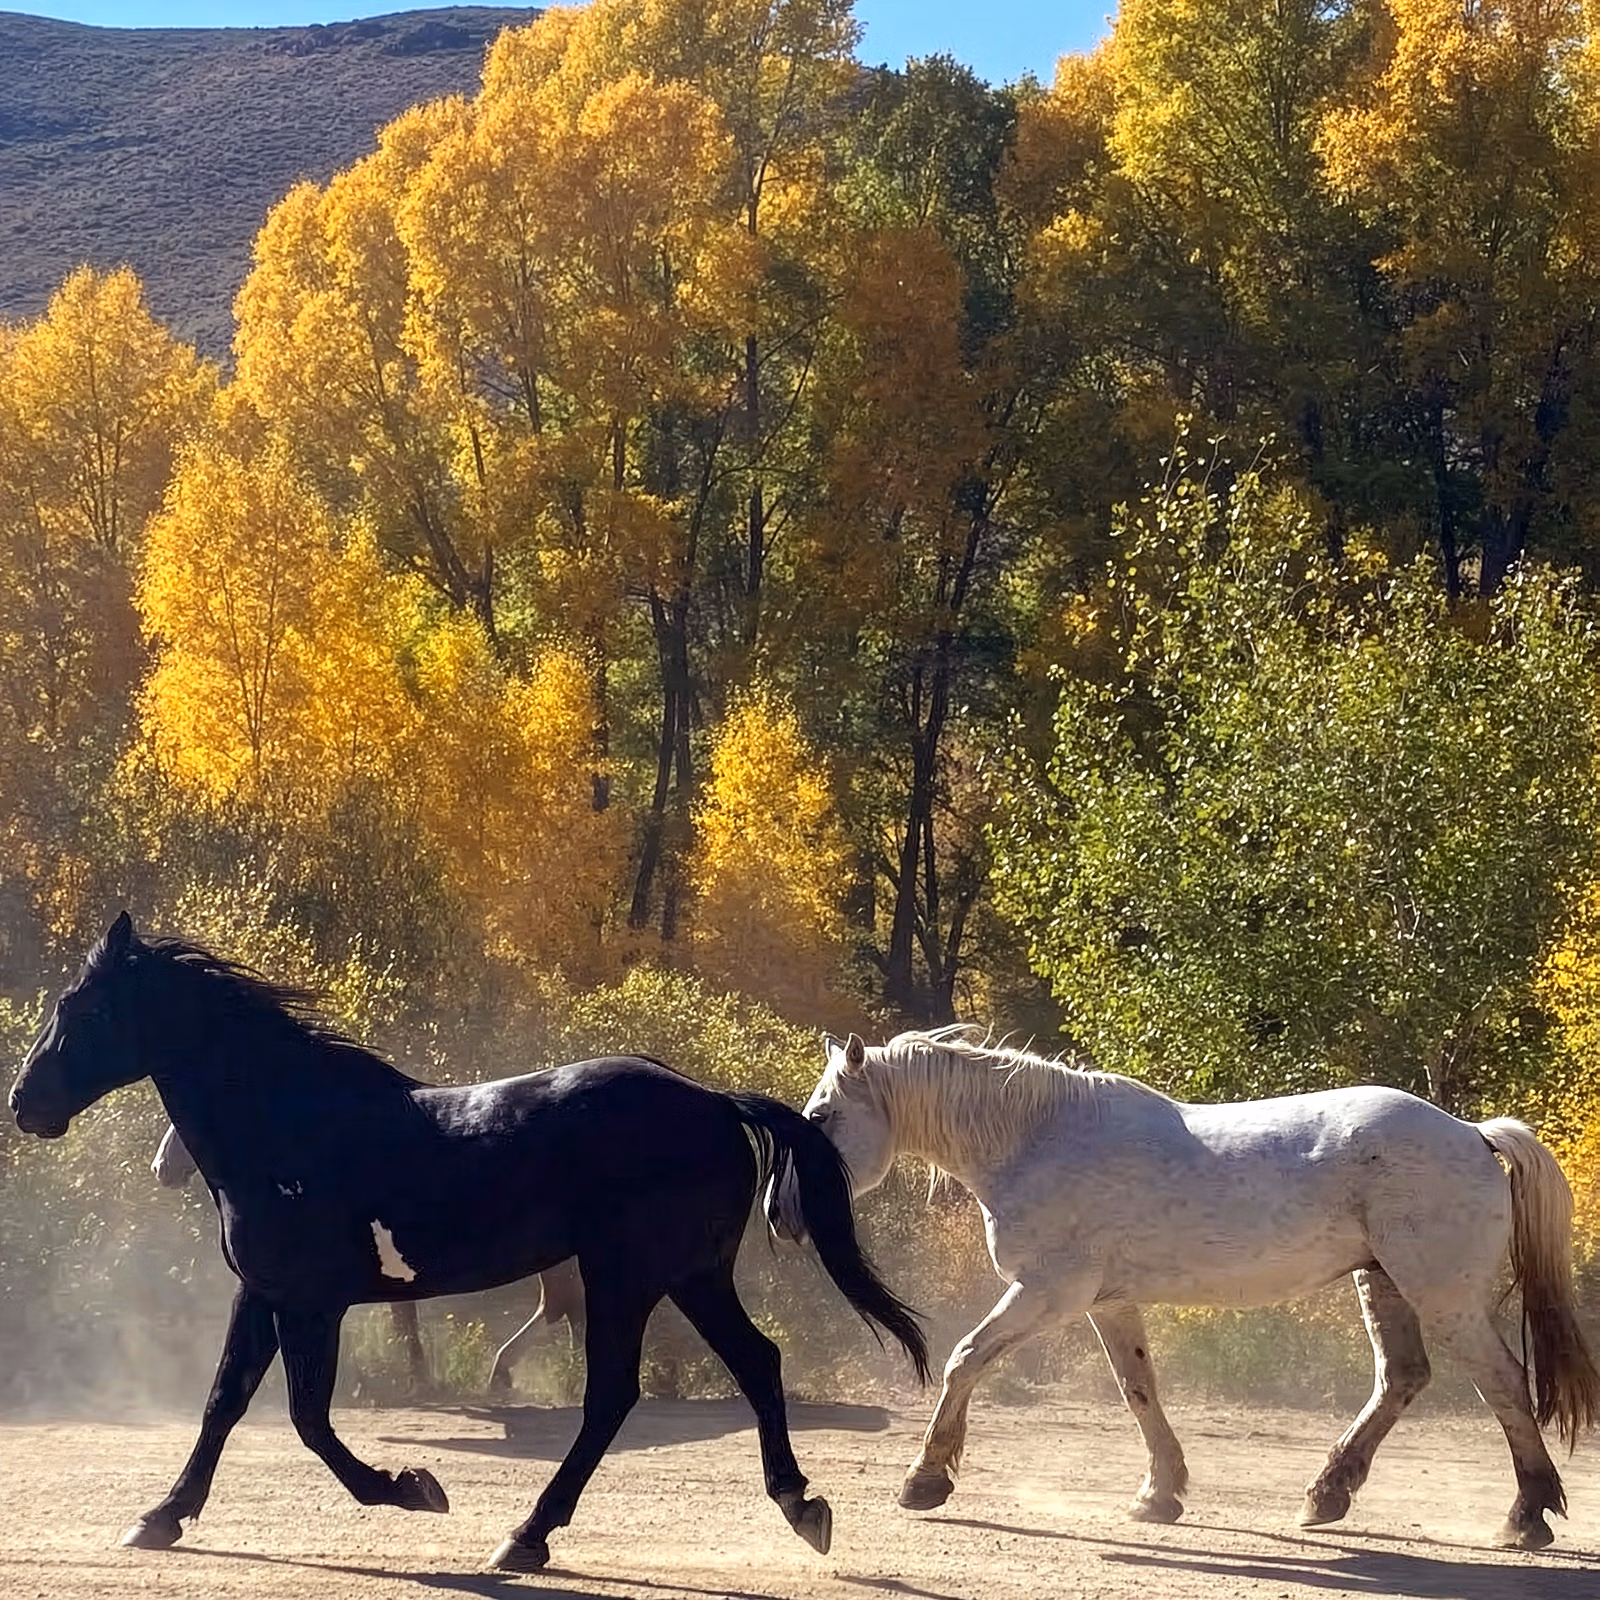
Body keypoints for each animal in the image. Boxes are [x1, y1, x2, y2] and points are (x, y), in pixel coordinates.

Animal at [771, 1028, 1600, 1551]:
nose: (780, 1217)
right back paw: (1326, 1494)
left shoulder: (1049, 1294)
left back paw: (1525, 1514)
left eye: (822, 1117)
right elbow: (1139, 1390)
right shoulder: (1106, 1304)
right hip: (1386, 1283)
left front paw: (925, 1479)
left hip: (1442, 1296)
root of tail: (1473, 1134)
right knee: (1403, 1378)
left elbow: (965, 1360)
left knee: (1503, 1382)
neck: (1036, 1138)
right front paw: (1160, 1494)